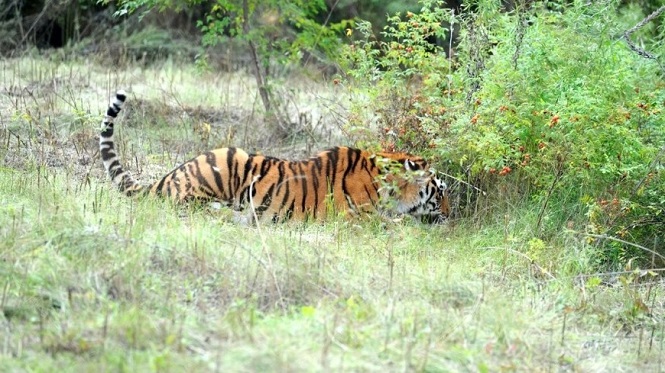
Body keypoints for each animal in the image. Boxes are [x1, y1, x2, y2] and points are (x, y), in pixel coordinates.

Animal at [100, 90, 452, 222]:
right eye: (440, 191)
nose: (451, 215)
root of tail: (168, 176)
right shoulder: (356, 220)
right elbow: (396, 225)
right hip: (221, 169)